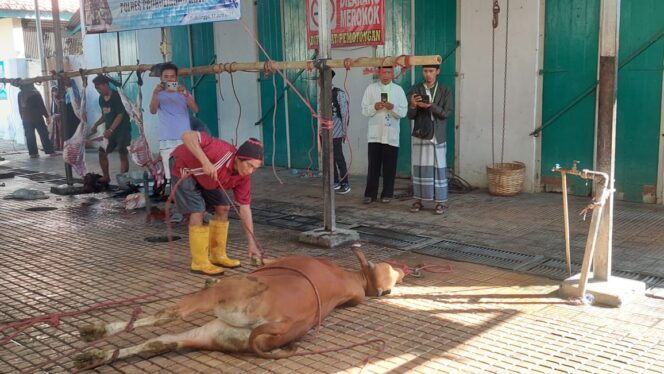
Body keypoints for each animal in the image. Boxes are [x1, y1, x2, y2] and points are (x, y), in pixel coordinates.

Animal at [73, 245, 404, 368]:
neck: (350, 278)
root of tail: (284, 325)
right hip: (218, 334)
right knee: (159, 342)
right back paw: (93, 356)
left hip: (224, 299)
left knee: (166, 316)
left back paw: (95, 331)